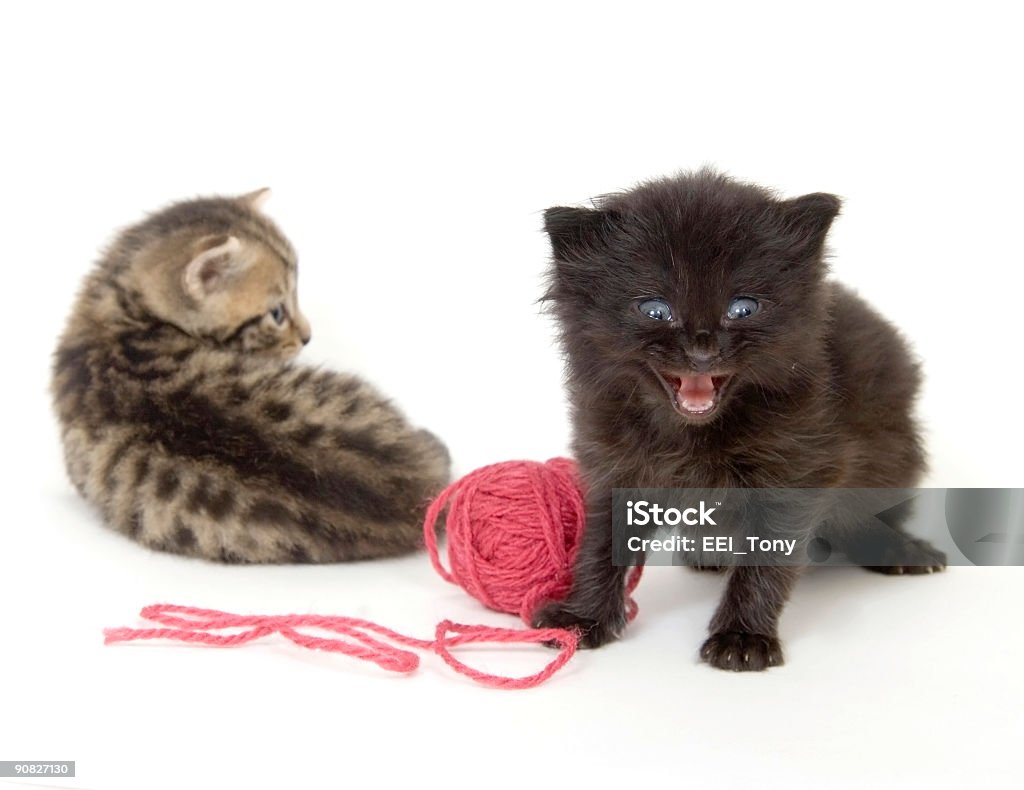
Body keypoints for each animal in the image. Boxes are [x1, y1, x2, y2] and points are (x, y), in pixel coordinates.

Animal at [536, 170, 942, 672]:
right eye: (654, 310)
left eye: (743, 308)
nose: (702, 348)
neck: (689, 438)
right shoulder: (612, 464)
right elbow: (598, 546)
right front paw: (583, 618)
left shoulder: (798, 470)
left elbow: (766, 561)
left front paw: (743, 636)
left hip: (892, 453)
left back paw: (903, 551)